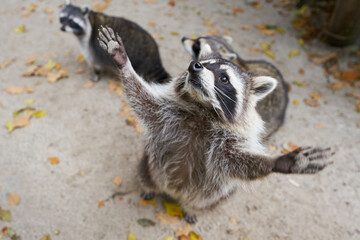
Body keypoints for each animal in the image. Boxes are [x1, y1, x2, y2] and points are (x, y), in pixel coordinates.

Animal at [98, 26, 334, 225]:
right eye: (205, 63)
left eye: (223, 78)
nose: (194, 66)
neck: (203, 110)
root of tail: (174, 193)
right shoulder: (166, 114)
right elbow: (142, 100)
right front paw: (123, 64)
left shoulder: (225, 143)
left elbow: (236, 162)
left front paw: (280, 162)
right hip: (149, 165)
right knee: (145, 170)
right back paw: (148, 186)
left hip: (213, 197)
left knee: (214, 196)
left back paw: (192, 209)